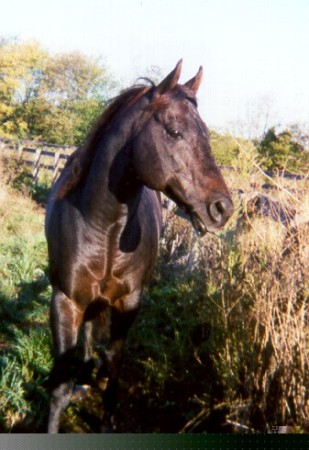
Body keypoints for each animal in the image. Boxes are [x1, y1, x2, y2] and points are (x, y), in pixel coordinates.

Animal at [45, 60, 233, 432]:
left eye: (206, 134)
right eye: (174, 131)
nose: (223, 208)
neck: (103, 227)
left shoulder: (129, 304)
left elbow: (115, 368)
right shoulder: (65, 302)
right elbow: (59, 387)